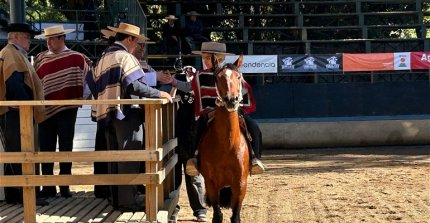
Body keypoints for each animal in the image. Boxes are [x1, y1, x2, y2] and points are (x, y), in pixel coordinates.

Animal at [197, 54, 249, 223]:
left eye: (238, 76)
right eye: (218, 77)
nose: (231, 100)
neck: (227, 144)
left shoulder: (240, 184)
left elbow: (235, 216)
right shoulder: (211, 183)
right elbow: (217, 216)